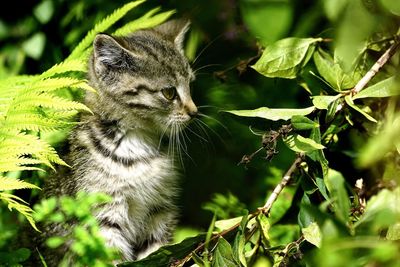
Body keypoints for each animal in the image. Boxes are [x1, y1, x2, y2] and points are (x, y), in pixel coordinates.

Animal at [38, 19, 197, 264]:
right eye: (169, 93)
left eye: (190, 84)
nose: (194, 112)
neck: (138, 142)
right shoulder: (103, 214)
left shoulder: (160, 210)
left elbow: (156, 249)